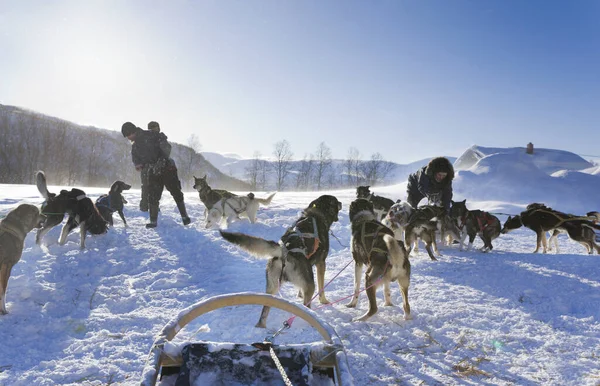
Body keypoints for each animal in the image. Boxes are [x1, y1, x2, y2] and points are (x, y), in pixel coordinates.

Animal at [220, 195, 342, 328]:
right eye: (336, 201)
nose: (341, 202)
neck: (317, 212)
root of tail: (284, 250)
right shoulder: (321, 263)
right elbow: (322, 287)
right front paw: (324, 301)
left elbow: (300, 290)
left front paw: (299, 294)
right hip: (310, 286)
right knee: (307, 307)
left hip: (271, 290)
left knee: (263, 315)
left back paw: (261, 326)